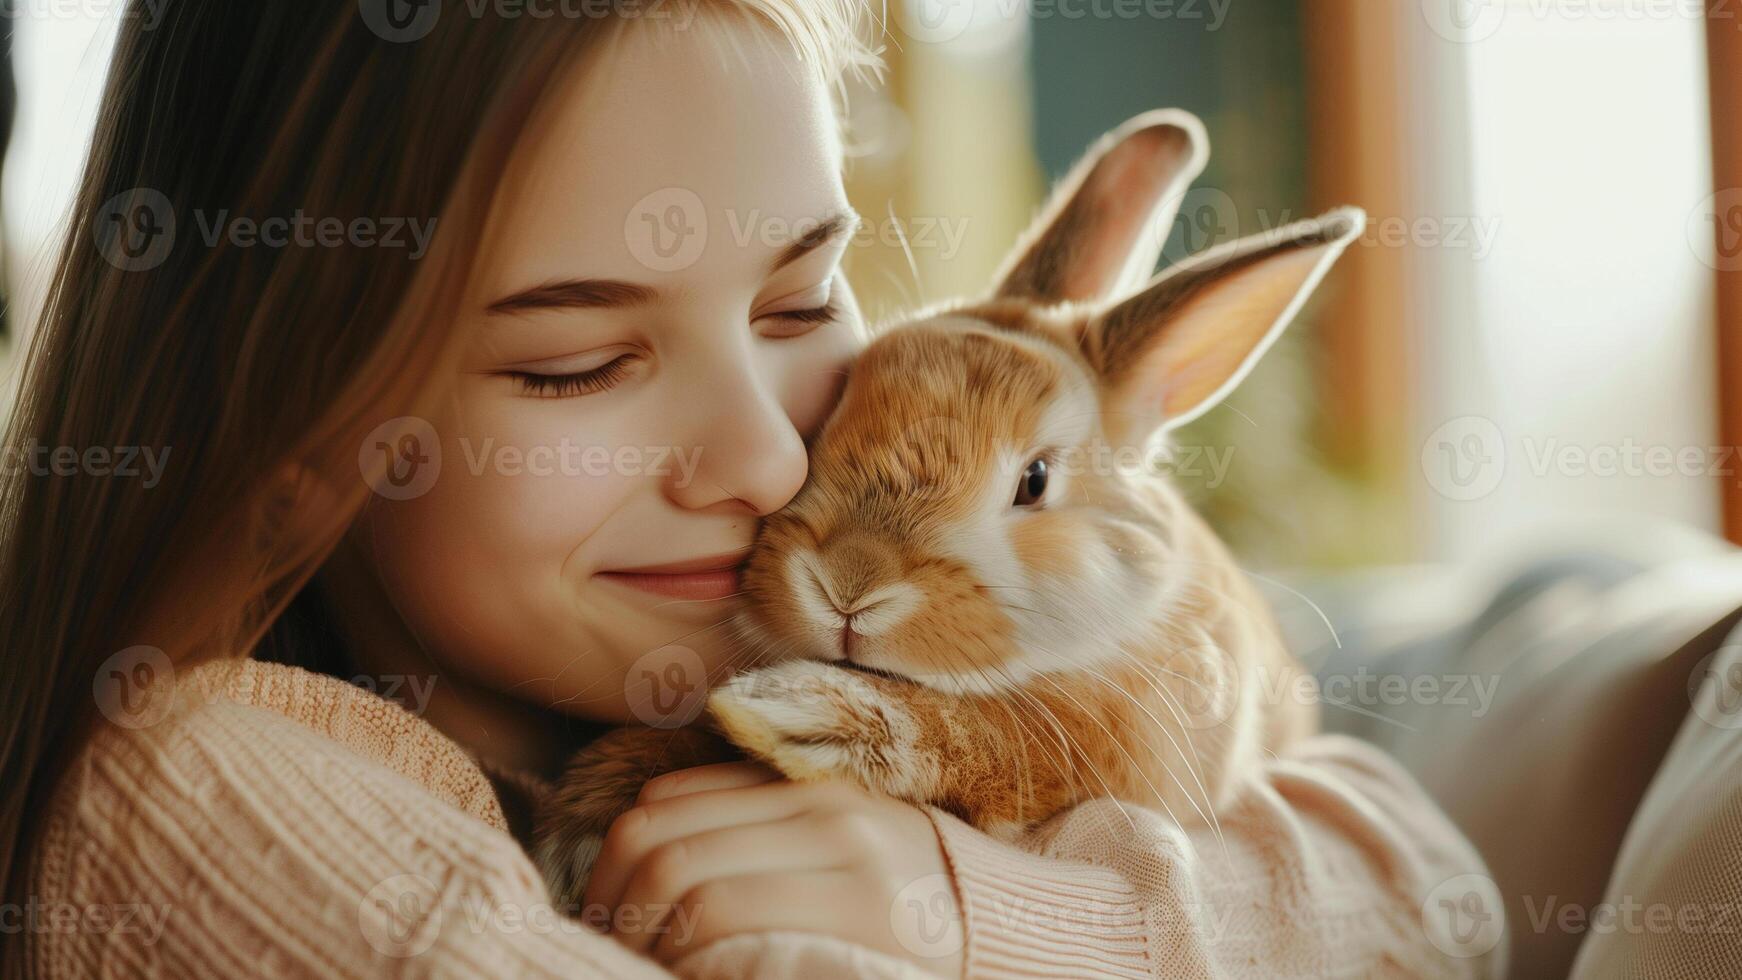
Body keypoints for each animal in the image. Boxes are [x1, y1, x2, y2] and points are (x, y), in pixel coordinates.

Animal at [529, 109, 1358, 912]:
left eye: (1034, 480)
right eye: (830, 414)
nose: (849, 583)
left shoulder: (1119, 742)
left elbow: (994, 736)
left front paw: (793, 710)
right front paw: (586, 819)